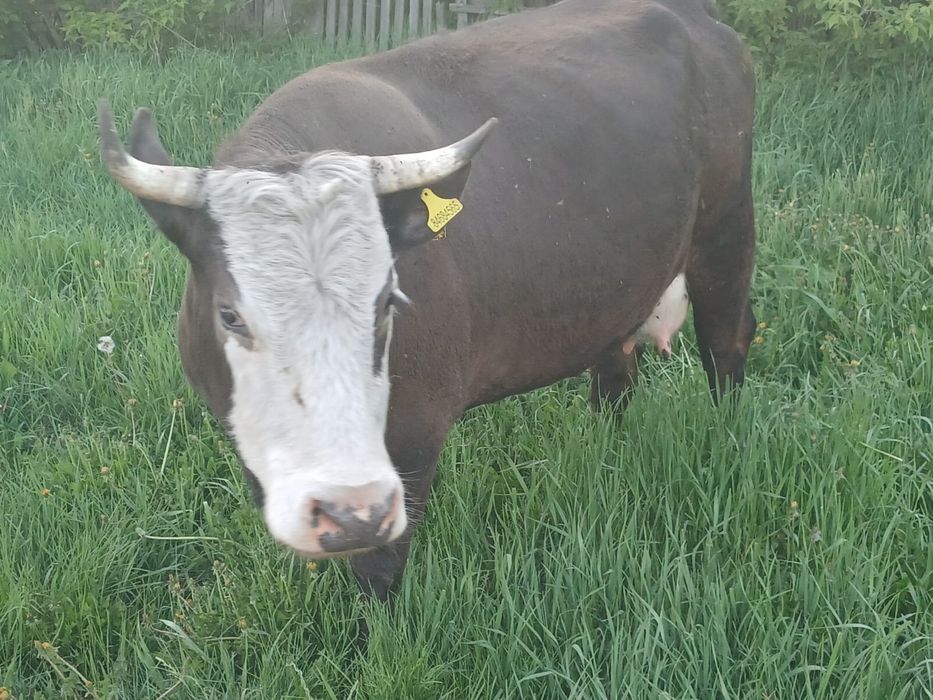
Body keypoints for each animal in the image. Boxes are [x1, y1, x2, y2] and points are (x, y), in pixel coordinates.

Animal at [98, 0, 757, 600]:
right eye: (231, 315)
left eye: (387, 302)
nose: (345, 512)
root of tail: (694, 18)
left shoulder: (413, 435)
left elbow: (381, 565)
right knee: (616, 370)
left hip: (726, 233)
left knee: (725, 343)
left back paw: (727, 441)